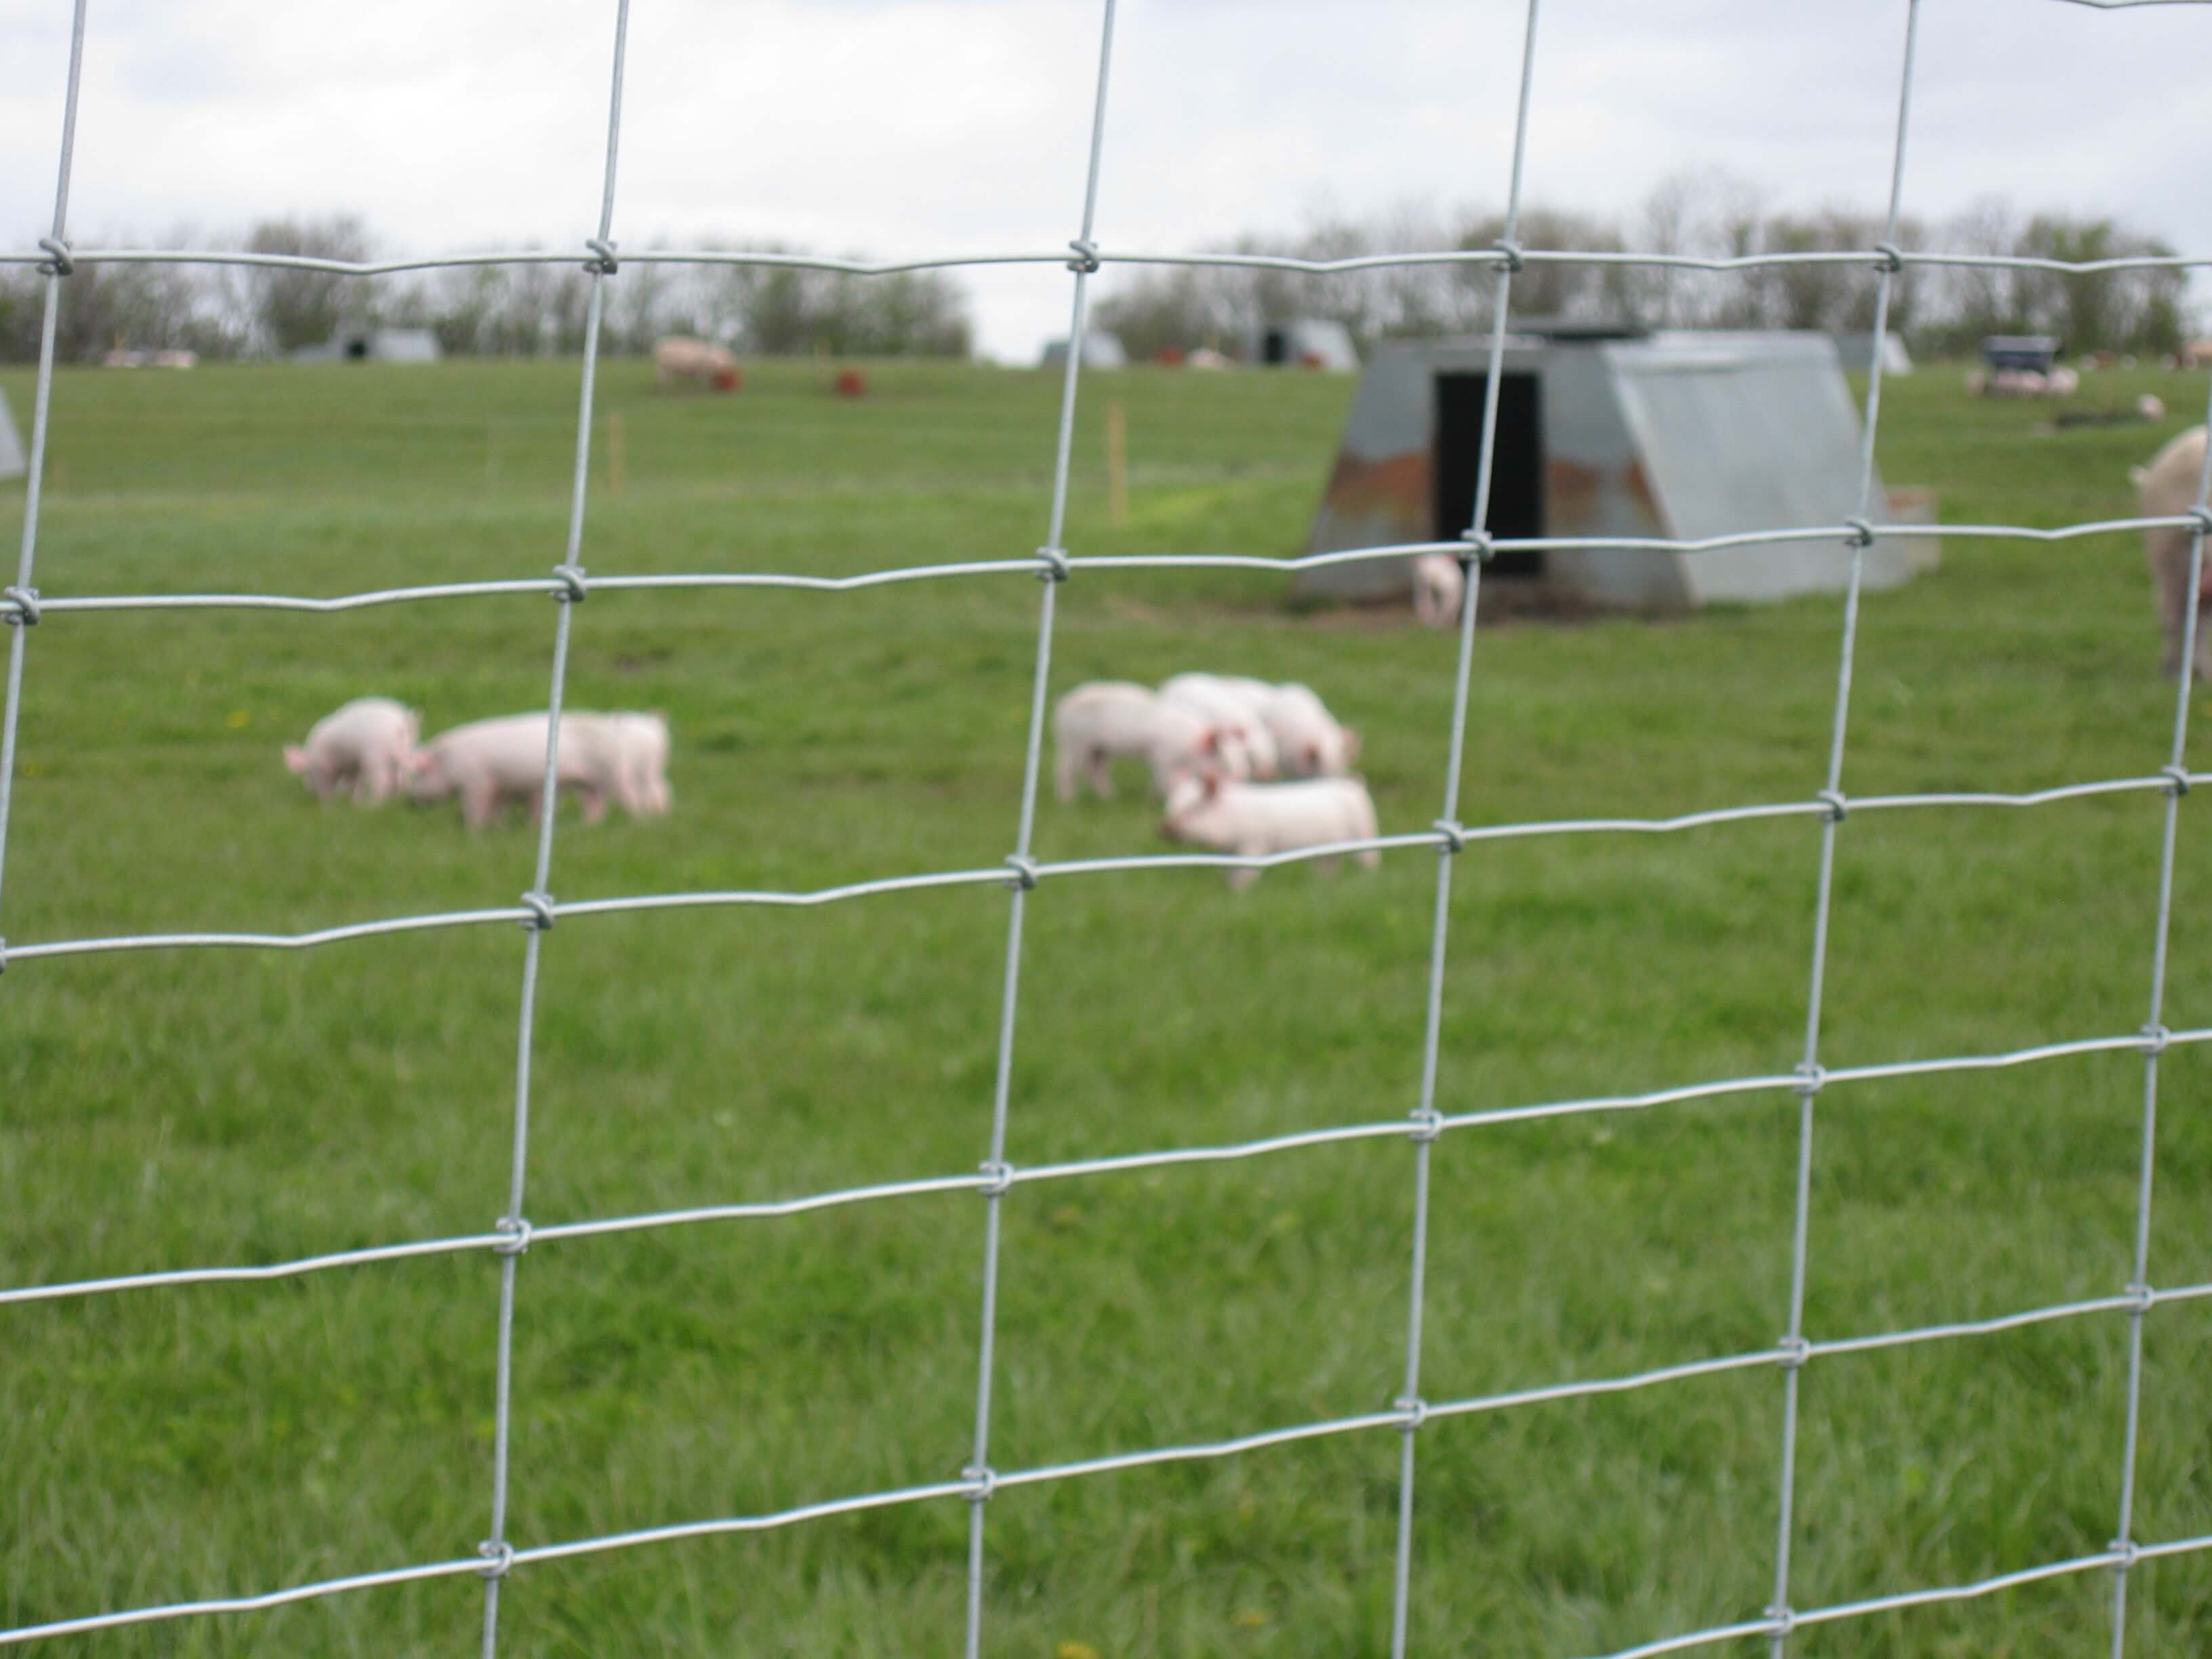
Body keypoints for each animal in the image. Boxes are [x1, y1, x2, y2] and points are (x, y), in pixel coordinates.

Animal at [283, 699, 415, 809]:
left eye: (304, 773)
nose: (311, 793)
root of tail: (400, 725)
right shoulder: (353, 765)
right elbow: (354, 782)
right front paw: (353, 803)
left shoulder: (323, 767)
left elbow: (328, 786)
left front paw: (327, 806)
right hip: (406, 750)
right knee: (403, 777)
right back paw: (396, 800)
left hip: (376, 754)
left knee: (383, 780)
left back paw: (372, 806)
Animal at [646, 333, 743, 393]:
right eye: (731, 380)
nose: (735, 391)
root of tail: (658, 344)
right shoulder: (704, 371)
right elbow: (704, 380)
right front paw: (704, 390)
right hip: (662, 367)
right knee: (663, 379)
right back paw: (666, 390)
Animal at [1044, 676, 1238, 800]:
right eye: (1220, 761)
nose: (1232, 784)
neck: (1187, 746)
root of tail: (1063, 704)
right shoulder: (1162, 757)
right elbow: (1165, 779)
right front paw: (1163, 798)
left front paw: (1152, 797)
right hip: (1074, 741)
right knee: (1064, 768)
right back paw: (1068, 801)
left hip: (1098, 748)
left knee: (1095, 770)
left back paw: (1110, 797)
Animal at [1159, 778, 1380, 898]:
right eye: (1171, 805)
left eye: (1194, 808)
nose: (1164, 829)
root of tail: (1354, 786)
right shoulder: (1230, 852)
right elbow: (1229, 874)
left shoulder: (1255, 844)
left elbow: (1245, 875)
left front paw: (1241, 894)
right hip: (1329, 849)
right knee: (1329, 866)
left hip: (1363, 834)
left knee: (1369, 860)